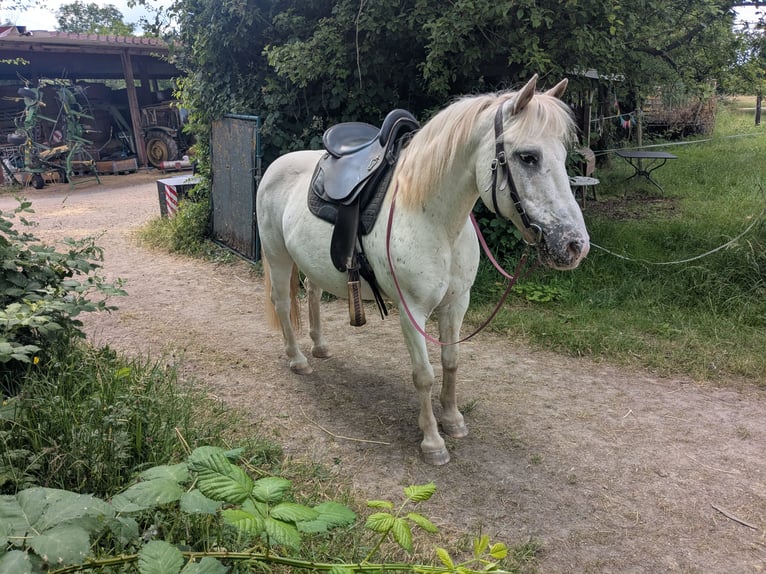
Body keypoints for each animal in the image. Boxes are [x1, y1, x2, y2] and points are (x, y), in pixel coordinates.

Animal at [256, 74, 589, 465]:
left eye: (563, 156)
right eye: (528, 156)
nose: (574, 245)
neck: (436, 219)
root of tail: (276, 165)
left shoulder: (457, 304)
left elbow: (451, 361)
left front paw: (453, 419)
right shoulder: (411, 311)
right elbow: (424, 374)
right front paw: (432, 441)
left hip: (312, 262)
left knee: (311, 291)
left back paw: (320, 347)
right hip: (278, 257)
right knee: (282, 303)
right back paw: (297, 360)